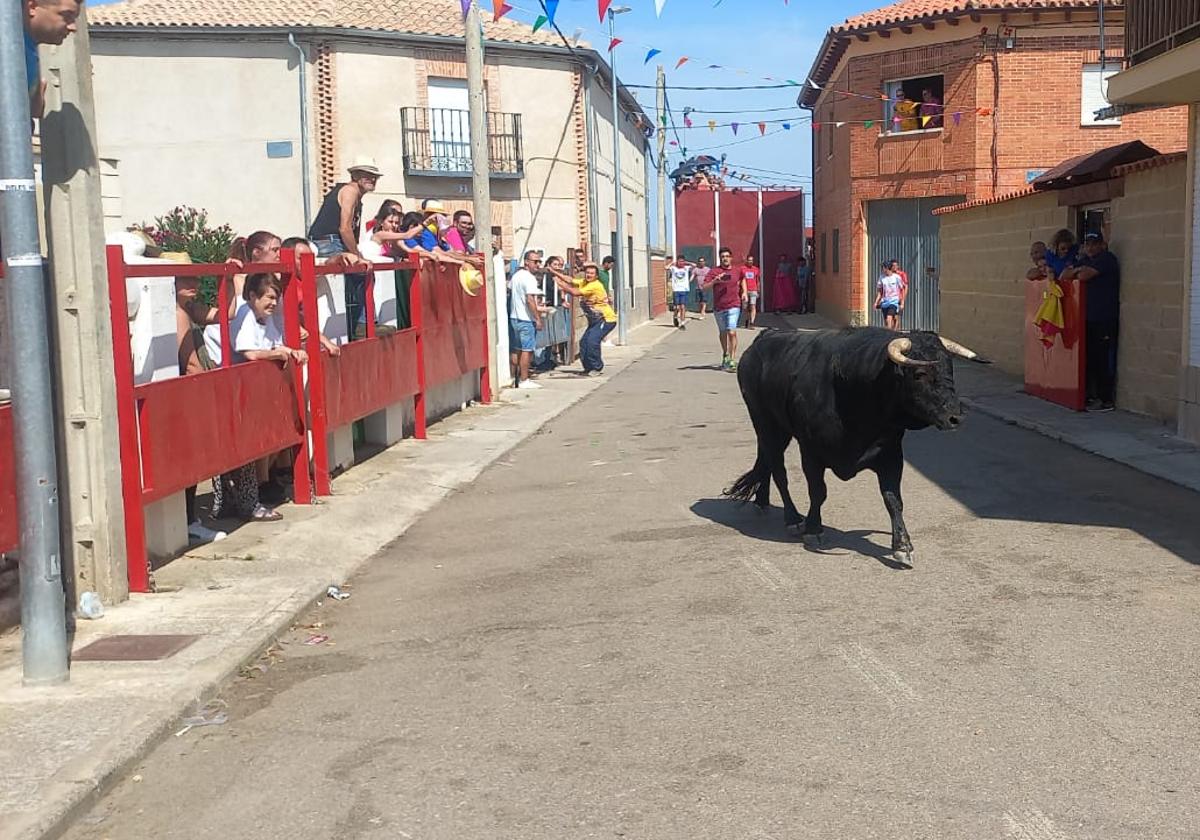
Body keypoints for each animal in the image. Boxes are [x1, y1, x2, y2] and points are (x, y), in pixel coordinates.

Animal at [720, 328, 984, 564]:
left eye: (950, 369)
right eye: (919, 373)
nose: (955, 417)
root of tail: (764, 337)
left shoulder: (891, 454)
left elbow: (893, 499)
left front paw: (902, 546)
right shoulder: (811, 452)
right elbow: (818, 492)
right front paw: (813, 529)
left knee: (765, 460)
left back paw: (762, 501)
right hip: (766, 423)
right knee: (778, 470)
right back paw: (792, 518)